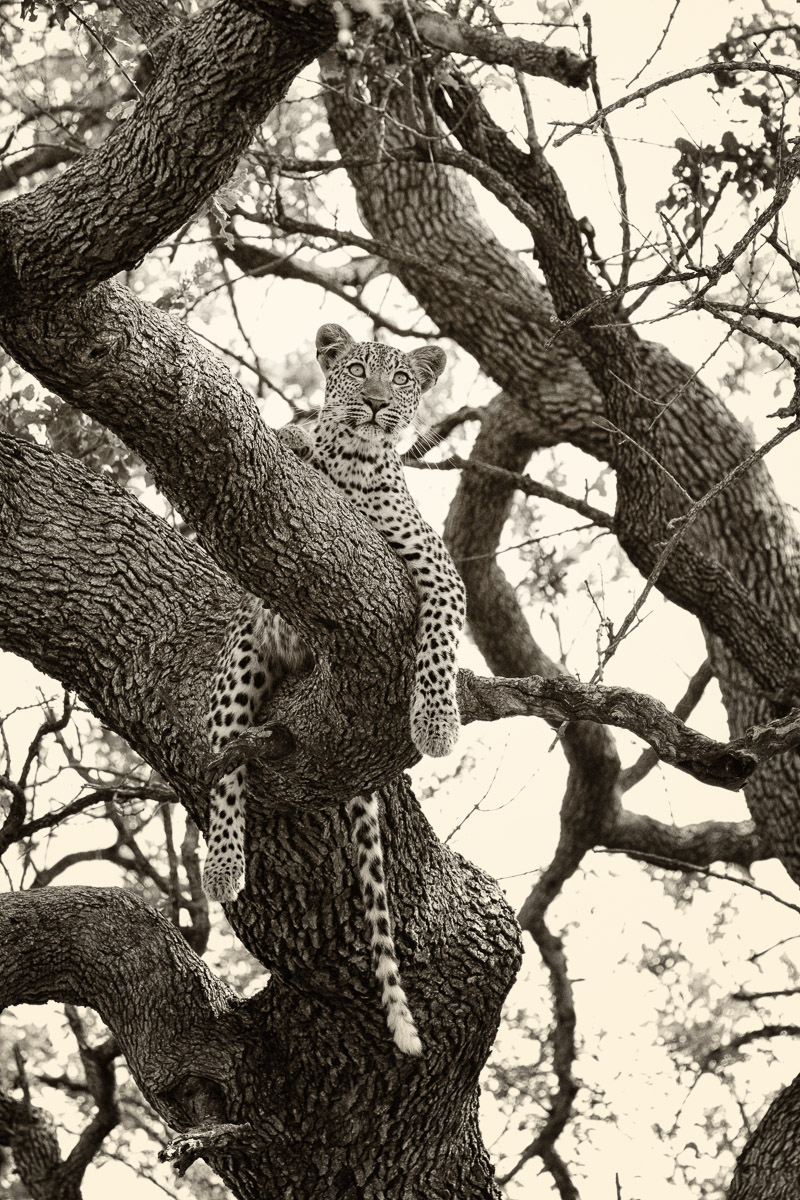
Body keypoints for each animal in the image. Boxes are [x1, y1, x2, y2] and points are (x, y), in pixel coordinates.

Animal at [203, 323, 466, 1056]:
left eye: (400, 378)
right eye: (355, 370)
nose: (376, 403)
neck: (353, 462)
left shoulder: (439, 572)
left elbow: (438, 643)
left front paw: (435, 723)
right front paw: (296, 436)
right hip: (241, 662)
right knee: (224, 765)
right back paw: (224, 865)